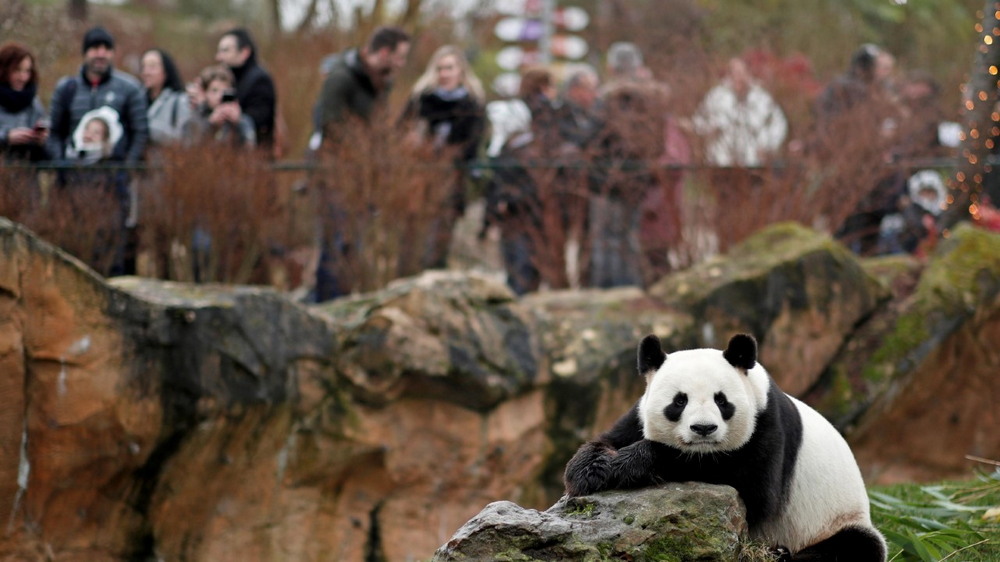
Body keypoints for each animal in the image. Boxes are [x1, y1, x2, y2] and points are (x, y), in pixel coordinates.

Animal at [568, 330, 888, 556]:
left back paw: (782, 554)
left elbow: (751, 491)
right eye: (679, 401)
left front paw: (632, 463)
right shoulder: (637, 415)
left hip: (833, 520)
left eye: (721, 401)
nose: (703, 428)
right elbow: (608, 439)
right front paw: (589, 471)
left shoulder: (767, 425)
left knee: (855, 546)